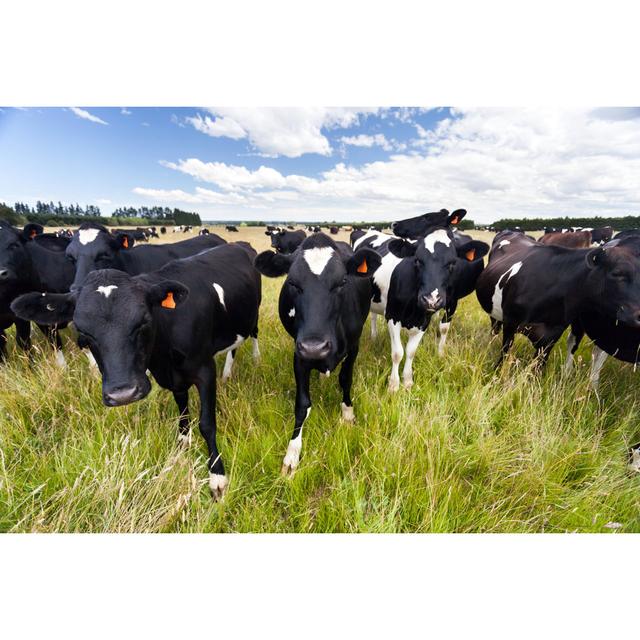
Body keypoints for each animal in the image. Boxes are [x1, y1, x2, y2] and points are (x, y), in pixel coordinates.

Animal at [10, 244, 260, 500]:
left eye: (144, 321)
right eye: (83, 332)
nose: (123, 394)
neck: (164, 356)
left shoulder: (205, 369)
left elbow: (207, 423)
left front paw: (217, 477)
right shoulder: (174, 377)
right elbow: (182, 410)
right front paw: (183, 443)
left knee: (251, 334)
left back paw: (249, 361)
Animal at [254, 234, 380, 476]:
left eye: (342, 282)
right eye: (292, 283)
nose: (315, 347)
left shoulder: (354, 346)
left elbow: (346, 379)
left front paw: (347, 414)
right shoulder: (300, 353)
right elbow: (302, 404)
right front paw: (292, 454)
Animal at [476, 232, 640, 368]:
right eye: (617, 273)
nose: (639, 315)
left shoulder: (552, 334)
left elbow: (538, 367)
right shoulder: (510, 322)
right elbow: (504, 355)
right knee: (494, 328)